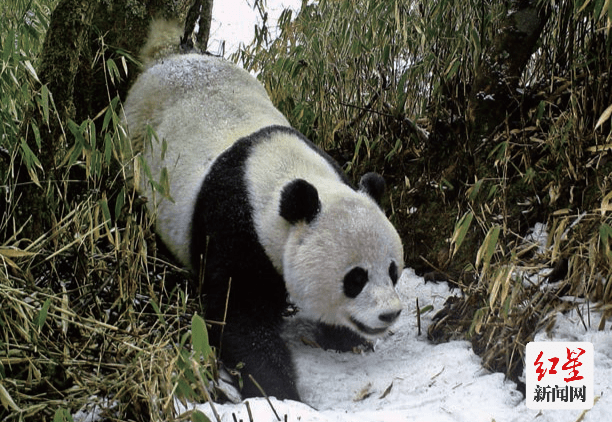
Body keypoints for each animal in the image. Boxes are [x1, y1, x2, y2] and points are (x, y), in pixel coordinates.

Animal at [122, 20, 404, 402]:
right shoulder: (233, 224)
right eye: (355, 278)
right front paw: (278, 390)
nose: (389, 314)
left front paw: (344, 338)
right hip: (134, 146)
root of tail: (165, 57)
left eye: (392, 271)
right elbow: (239, 317)